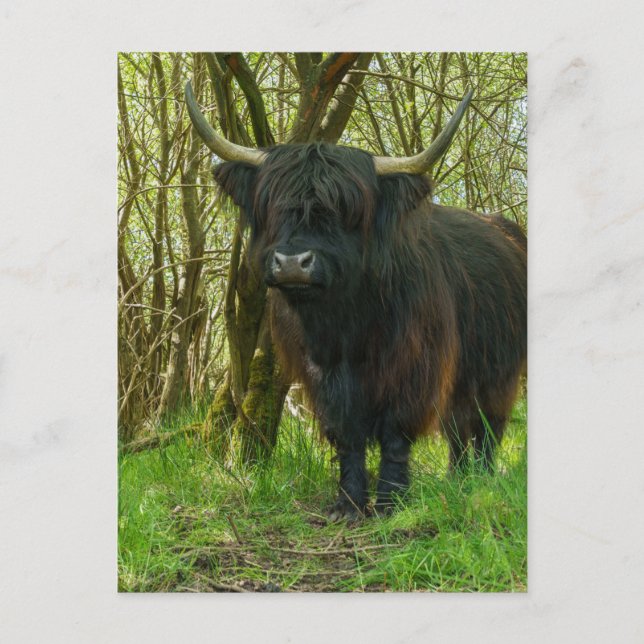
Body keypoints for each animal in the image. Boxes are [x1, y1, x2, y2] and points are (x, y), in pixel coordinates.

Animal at [185, 82, 527, 521]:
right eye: (272, 204)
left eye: (346, 210)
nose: (293, 263)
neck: (349, 323)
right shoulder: (322, 373)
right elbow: (346, 434)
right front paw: (347, 504)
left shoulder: (414, 368)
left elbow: (395, 433)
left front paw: (389, 502)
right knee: (458, 426)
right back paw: (458, 478)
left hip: (497, 372)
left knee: (485, 425)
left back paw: (478, 480)